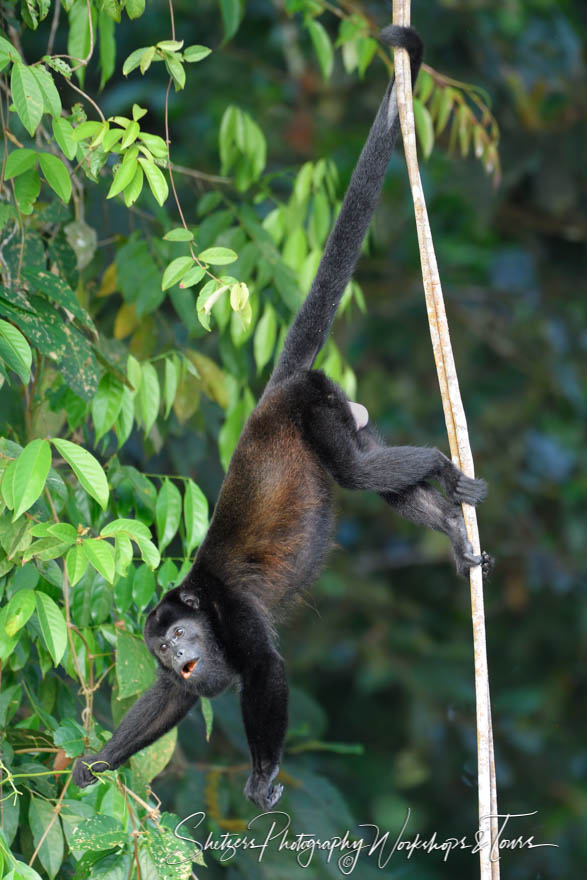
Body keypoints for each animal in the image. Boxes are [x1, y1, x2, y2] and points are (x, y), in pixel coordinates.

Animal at [73, 25, 492, 812]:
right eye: (157, 648)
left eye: (175, 634)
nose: (171, 653)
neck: (199, 605)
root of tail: (272, 394)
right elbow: (175, 700)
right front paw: (99, 762)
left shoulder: (232, 613)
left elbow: (265, 670)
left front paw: (263, 773)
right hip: (340, 407)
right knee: (378, 477)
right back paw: (452, 527)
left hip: (313, 403)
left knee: (358, 472)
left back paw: (444, 471)